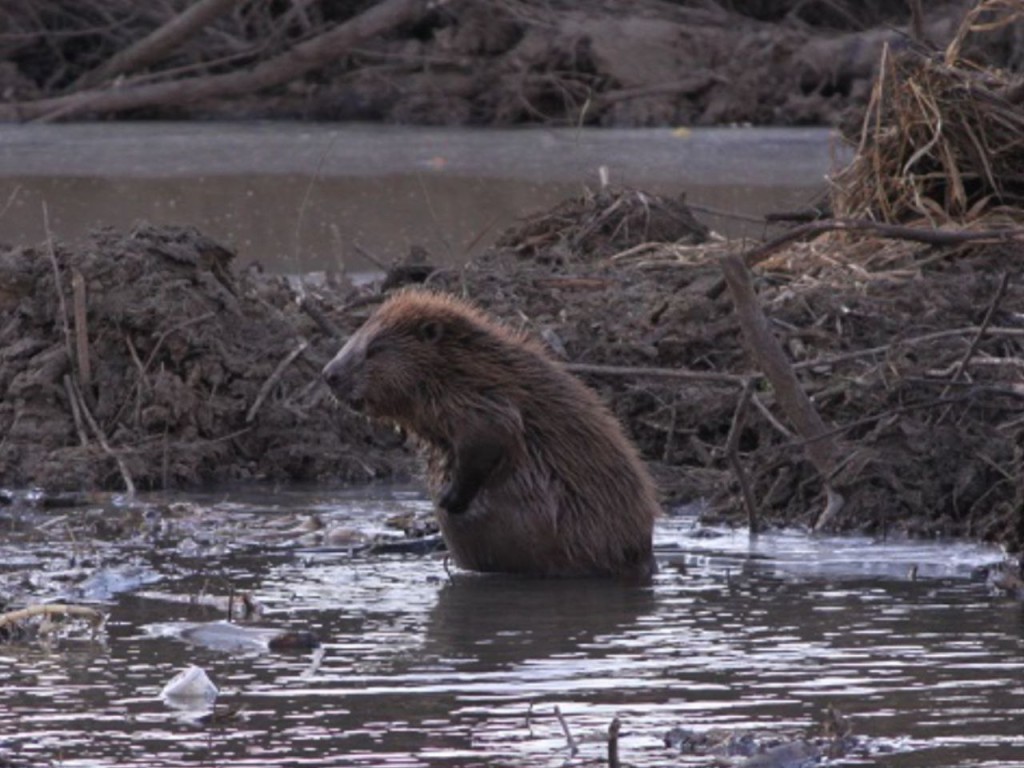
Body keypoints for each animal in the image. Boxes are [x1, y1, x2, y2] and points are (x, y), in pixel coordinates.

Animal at [325, 290, 663, 581]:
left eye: (374, 349)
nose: (330, 375)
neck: (464, 368)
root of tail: (647, 560)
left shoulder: (484, 399)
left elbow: (490, 436)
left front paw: (448, 499)